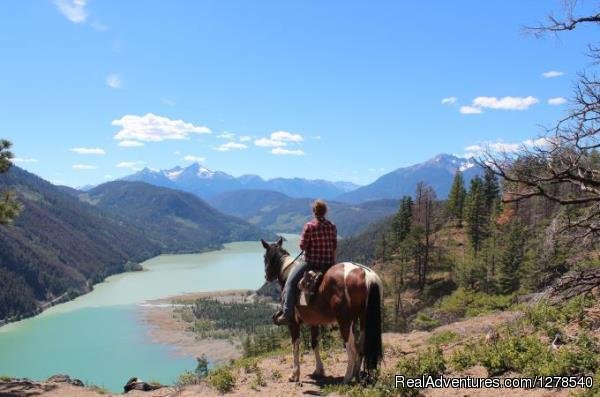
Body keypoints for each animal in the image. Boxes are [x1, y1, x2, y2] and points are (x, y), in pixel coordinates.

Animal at [260, 237, 382, 382]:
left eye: (265, 257)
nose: (266, 277)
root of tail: (366, 275)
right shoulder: (314, 322)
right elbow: (314, 343)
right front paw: (319, 370)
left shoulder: (293, 323)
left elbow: (295, 346)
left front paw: (294, 374)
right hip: (363, 318)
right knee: (361, 347)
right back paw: (356, 375)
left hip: (345, 321)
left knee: (352, 349)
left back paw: (347, 378)